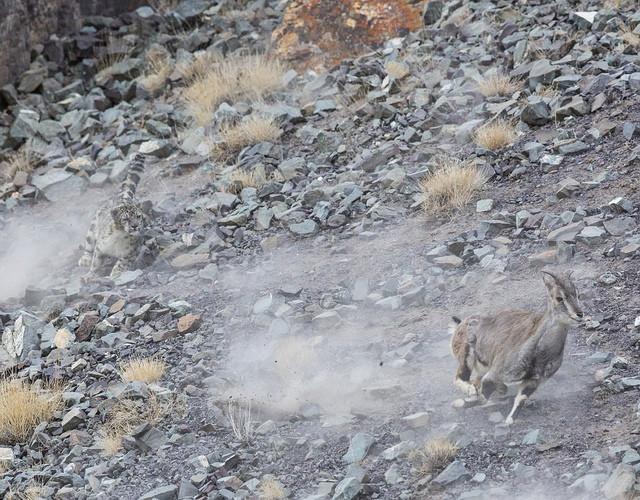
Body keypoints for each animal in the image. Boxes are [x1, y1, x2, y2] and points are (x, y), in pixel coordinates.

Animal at [78, 152, 148, 282]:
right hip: (93, 228)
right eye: (125, 218)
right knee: (89, 244)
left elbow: (123, 261)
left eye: (138, 216)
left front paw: (116, 271)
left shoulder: (133, 250)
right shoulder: (100, 246)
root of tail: (123, 198)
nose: (135, 226)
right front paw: (89, 275)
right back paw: (85, 259)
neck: (121, 236)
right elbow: (96, 262)